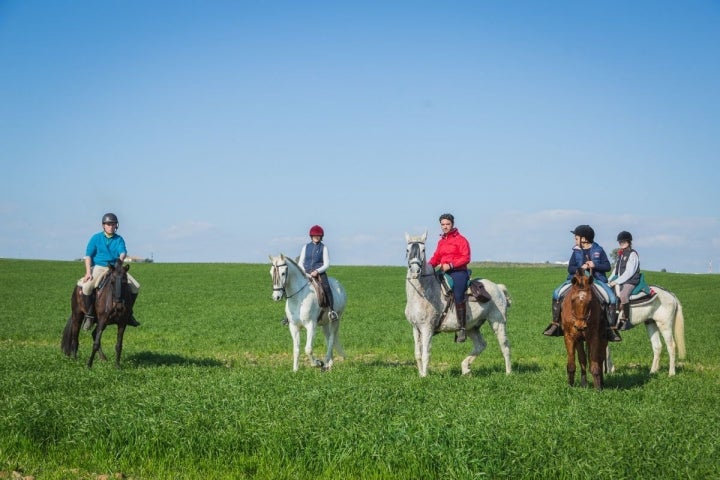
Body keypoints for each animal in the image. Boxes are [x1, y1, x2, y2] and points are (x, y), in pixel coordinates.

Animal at [404, 233, 512, 378]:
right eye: (408, 250)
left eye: (423, 250)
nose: (415, 271)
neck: (422, 293)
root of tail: (498, 287)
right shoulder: (416, 328)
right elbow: (418, 354)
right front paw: (421, 375)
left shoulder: (427, 328)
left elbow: (426, 353)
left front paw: (425, 377)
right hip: (472, 327)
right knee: (481, 344)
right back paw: (465, 368)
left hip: (498, 322)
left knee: (504, 346)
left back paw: (508, 373)